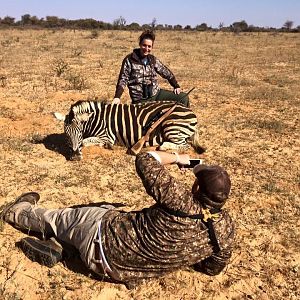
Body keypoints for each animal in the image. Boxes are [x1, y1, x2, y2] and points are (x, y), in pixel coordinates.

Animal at [53, 99, 204, 161]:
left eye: (79, 132)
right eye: (67, 135)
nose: (74, 158)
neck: (96, 119)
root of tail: (189, 109)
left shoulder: (107, 136)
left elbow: (85, 141)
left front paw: (105, 146)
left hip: (171, 126)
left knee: (184, 145)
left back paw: (161, 146)